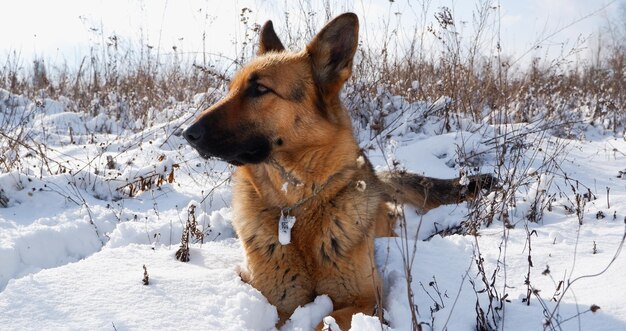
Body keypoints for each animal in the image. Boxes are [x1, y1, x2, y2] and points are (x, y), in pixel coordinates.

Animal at [184, 11, 492, 330]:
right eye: (231, 89)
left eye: (259, 89)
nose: (187, 134)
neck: (297, 208)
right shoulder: (277, 303)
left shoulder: (367, 300)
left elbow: (326, 318)